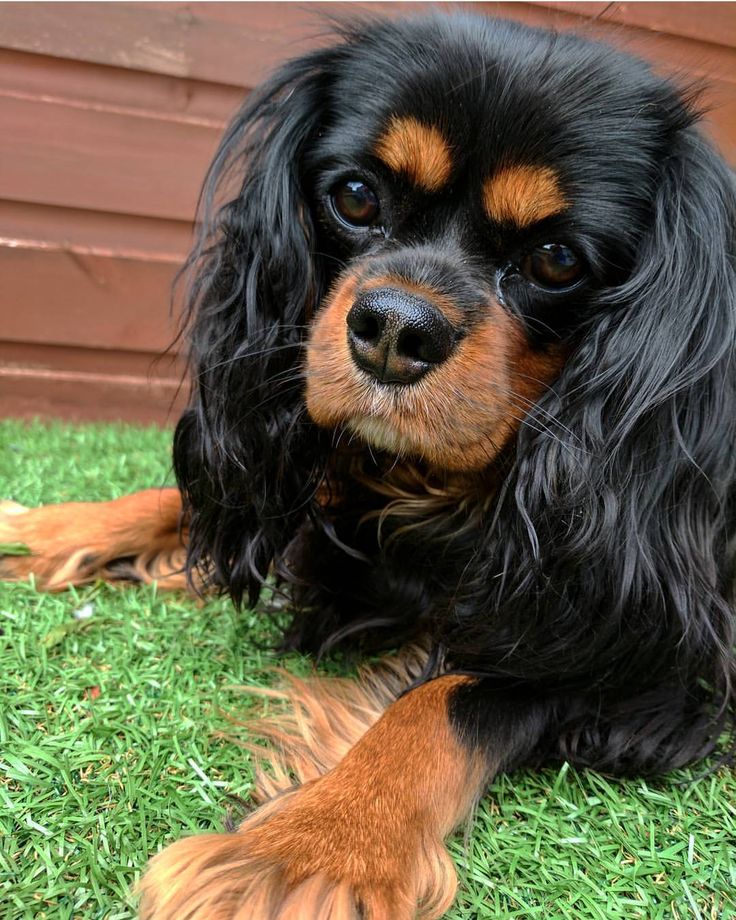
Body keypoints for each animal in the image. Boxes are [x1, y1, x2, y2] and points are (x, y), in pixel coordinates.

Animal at [1, 14, 736, 920]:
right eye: (355, 197)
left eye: (558, 259)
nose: (395, 327)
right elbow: (182, 496)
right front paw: (43, 531)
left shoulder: (651, 660)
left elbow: (444, 700)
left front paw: (310, 851)